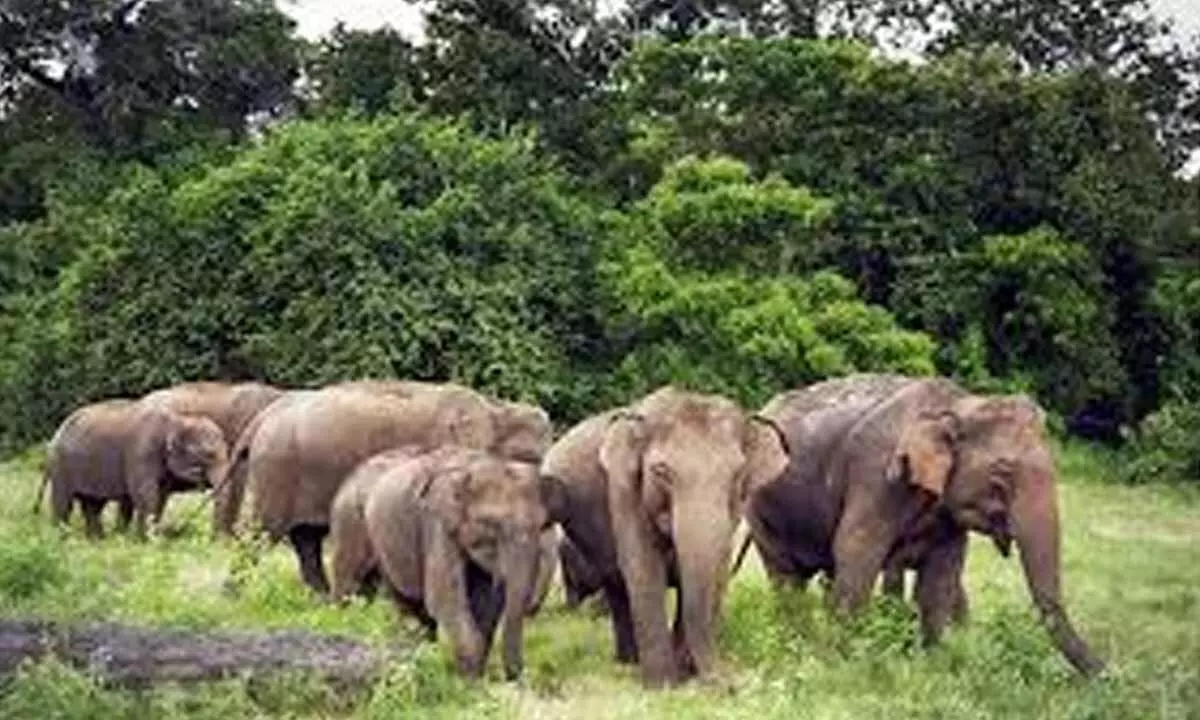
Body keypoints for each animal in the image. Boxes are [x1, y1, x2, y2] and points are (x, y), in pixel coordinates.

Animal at [38, 397, 230, 538]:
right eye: (208, 455)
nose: (214, 538)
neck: (177, 419)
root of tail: (56, 434)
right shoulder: (141, 453)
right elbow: (146, 495)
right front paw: (149, 541)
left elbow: (160, 498)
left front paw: (141, 539)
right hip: (61, 466)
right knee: (64, 503)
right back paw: (61, 539)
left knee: (93, 505)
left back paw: (97, 540)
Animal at [228, 382, 553, 595]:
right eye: (533, 459)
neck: (497, 409)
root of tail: (263, 417)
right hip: (276, 471)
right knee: (260, 531)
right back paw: (235, 593)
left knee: (307, 538)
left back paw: (320, 596)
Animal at [331, 445, 564, 680]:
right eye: (490, 524)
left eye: (542, 526)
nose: (516, 678)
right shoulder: (437, 526)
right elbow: (445, 597)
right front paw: (469, 680)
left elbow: (487, 604)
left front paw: (474, 675)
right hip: (350, 521)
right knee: (357, 586)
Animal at [538, 386, 790, 687]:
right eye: (661, 471)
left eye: (738, 473)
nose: (728, 684)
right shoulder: (624, 490)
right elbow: (644, 568)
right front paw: (663, 685)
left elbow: (713, 570)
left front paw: (683, 673)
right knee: (617, 586)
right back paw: (629, 662)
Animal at [741, 373, 1105, 676]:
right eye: (1002, 472)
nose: (1108, 675)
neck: (959, 404)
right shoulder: (876, 477)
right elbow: (856, 551)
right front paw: (847, 663)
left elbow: (942, 575)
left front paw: (933, 665)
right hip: (761, 508)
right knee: (787, 578)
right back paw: (793, 643)